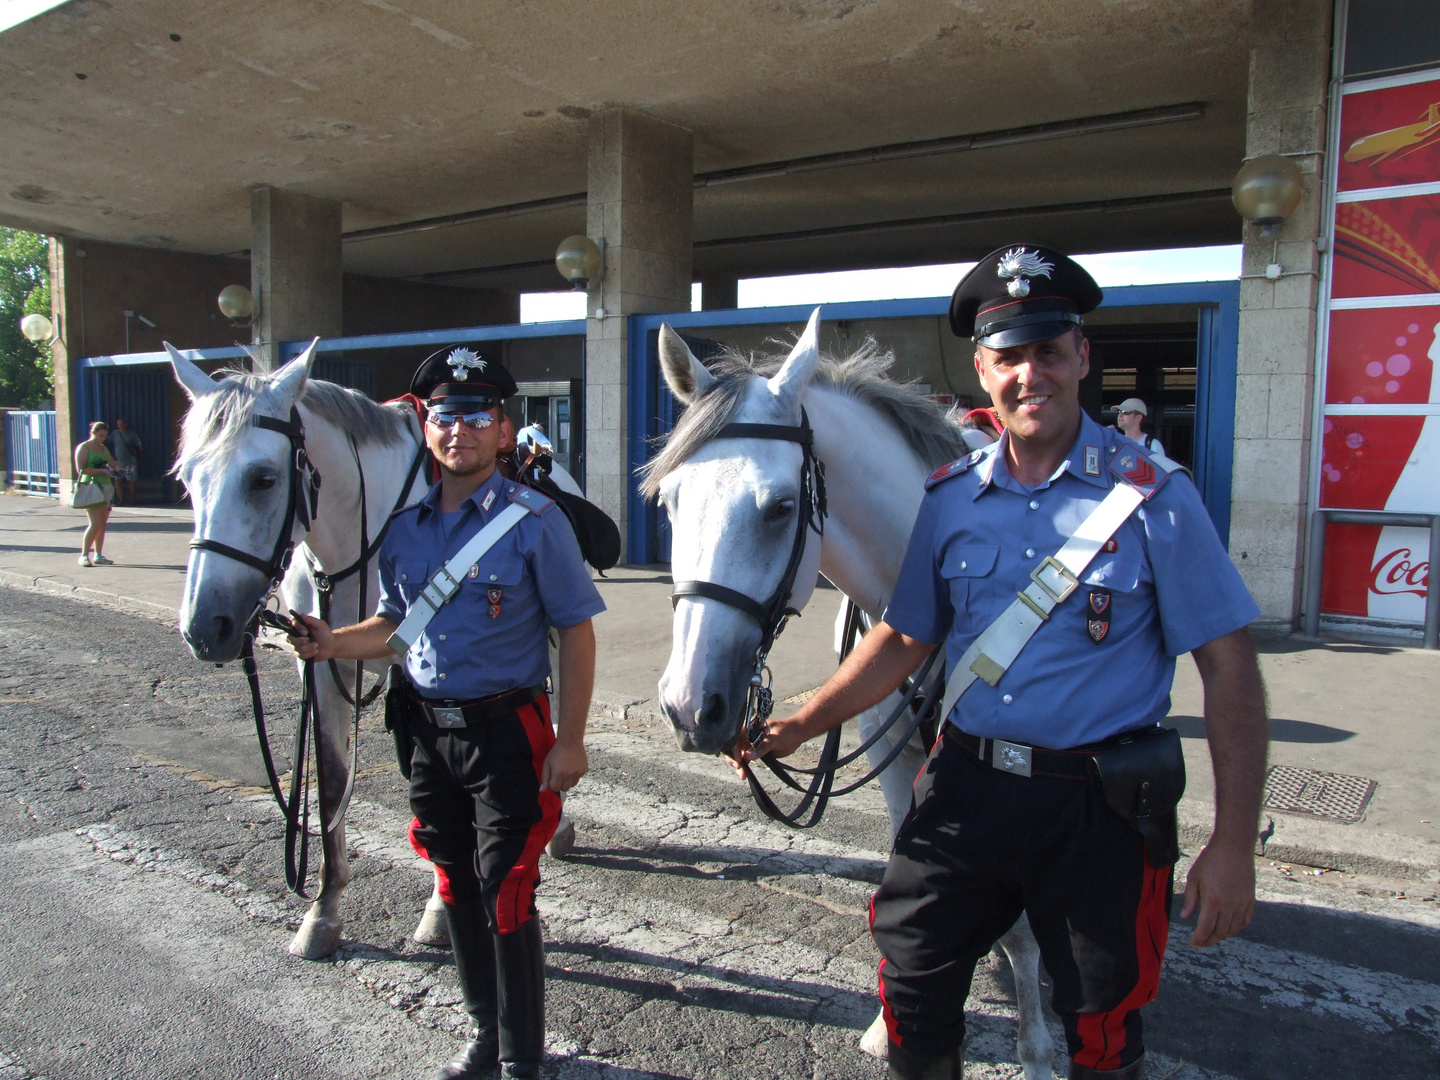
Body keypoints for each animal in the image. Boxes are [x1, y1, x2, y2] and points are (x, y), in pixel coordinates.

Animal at [165, 342, 576, 961]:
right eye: (188, 478)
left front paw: (437, 912)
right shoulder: (321, 667)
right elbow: (334, 784)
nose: (205, 628)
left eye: (263, 478)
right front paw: (323, 912)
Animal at [648, 308, 1054, 1077]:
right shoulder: (895, 754)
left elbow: (1021, 918)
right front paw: (893, 1020)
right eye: (671, 502)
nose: (690, 705)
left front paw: (1037, 1044)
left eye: (780, 507)